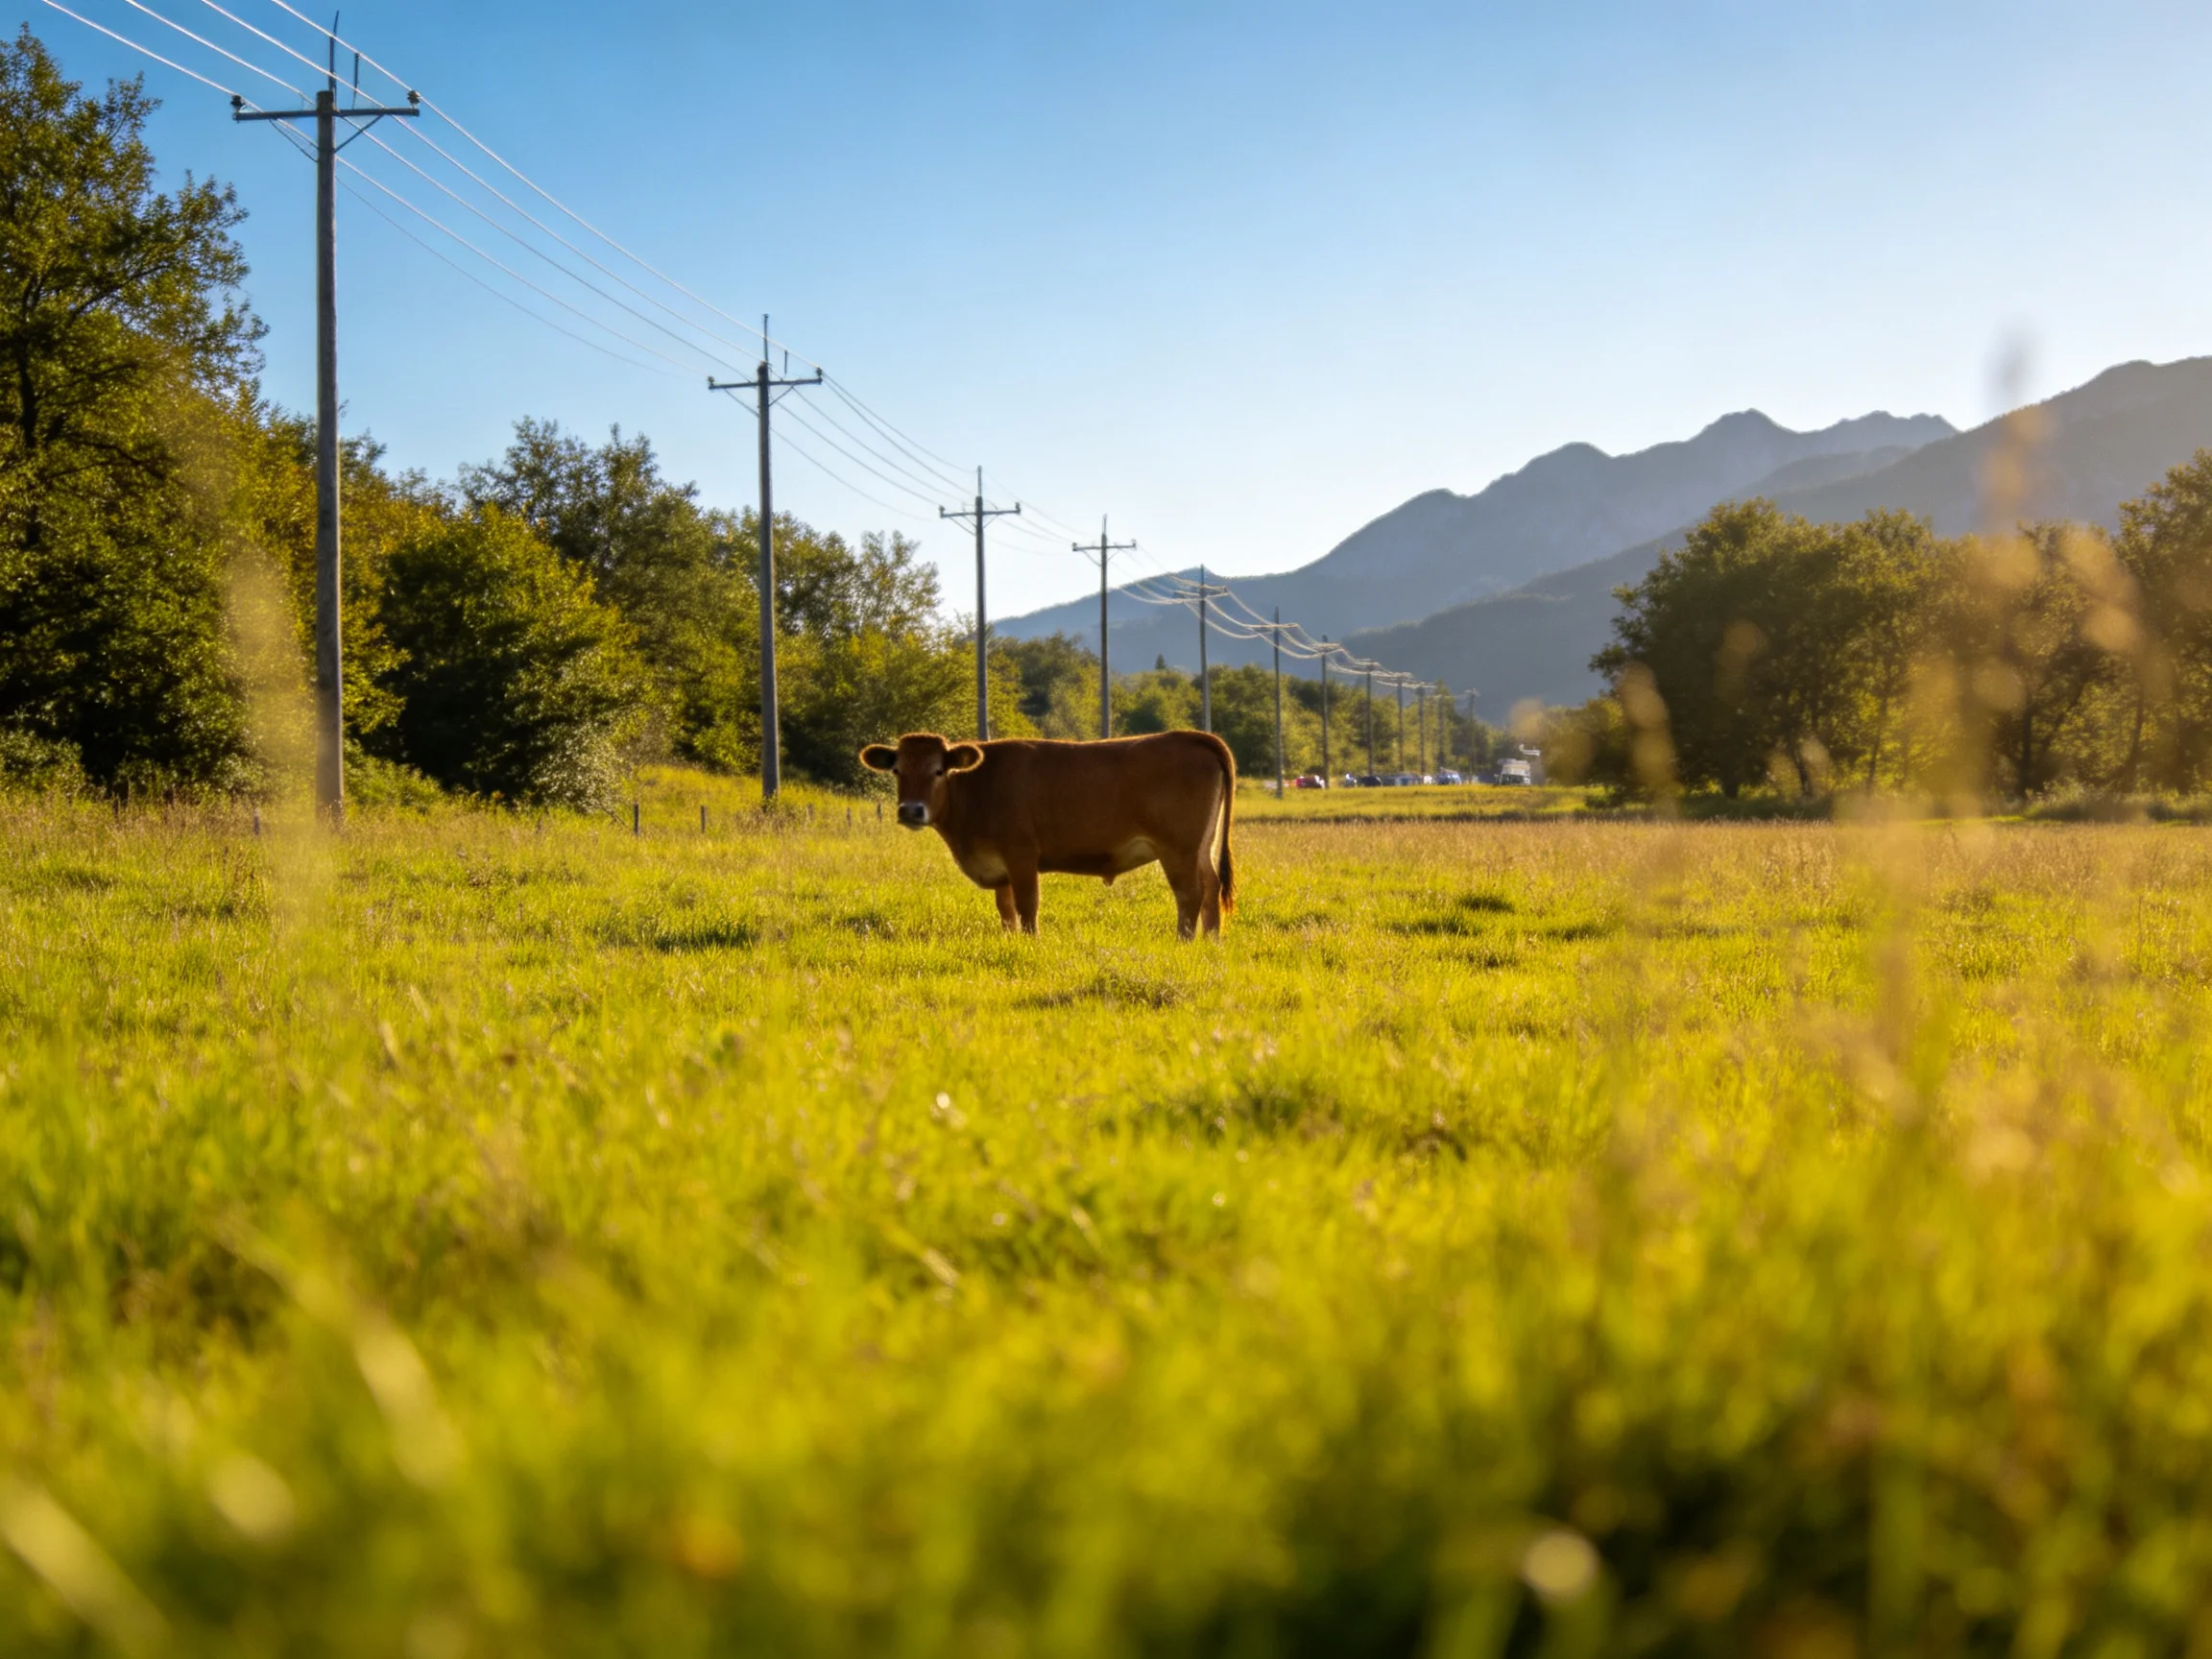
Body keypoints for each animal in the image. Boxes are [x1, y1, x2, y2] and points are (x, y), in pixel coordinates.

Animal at [859, 730, 1237, 938]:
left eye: (939, 771)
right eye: (897, 770)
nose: (911, 810)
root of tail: (1189, 736)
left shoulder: (1021, 854)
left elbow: (1027, 905)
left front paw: (1031, 941)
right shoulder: (1001, 868)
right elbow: (1006, 909)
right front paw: (1010, 940)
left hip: (1178, 848)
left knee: (1190, 893)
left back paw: (1183, 941)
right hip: (1201, 847)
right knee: (1211, 887)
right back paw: (1211, 941)